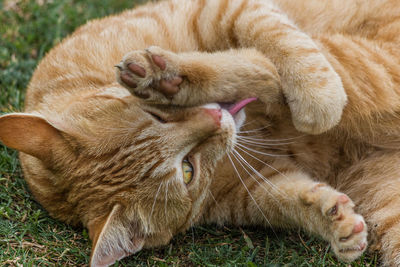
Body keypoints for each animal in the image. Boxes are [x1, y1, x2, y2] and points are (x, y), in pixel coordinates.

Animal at [0, 0, 400, 266]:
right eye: (187, 170)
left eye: (156, 117)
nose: (216, 117)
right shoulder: (256, 188)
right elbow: (292, 199)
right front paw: (336, 221)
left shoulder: (216, 9)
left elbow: (268, 36)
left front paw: (316, 90)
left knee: (272, 63)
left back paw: (165, 76)